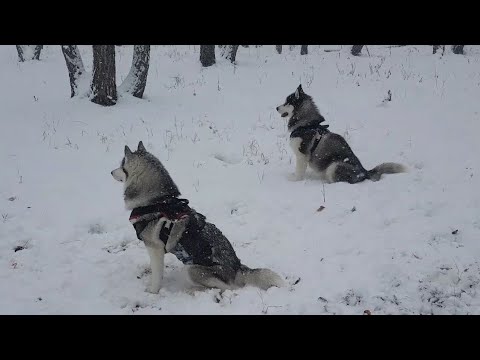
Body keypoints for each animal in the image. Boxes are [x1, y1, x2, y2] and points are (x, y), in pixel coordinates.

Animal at [110, 140, 284, 292]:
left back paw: (193, 290)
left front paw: (152, 291)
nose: (110, 172)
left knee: (228, 288)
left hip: (192, 269)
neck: (158, 201)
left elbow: (157, 275)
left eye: (121, 165)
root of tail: (237, 267)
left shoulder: (155, 247)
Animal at [276, 85, 406, 183]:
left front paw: (294, 180)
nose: (276, 107)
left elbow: (299, 172)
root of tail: (364, 172)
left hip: (334, 166)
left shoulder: (302, 155)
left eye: (287, 102)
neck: (307, 124)